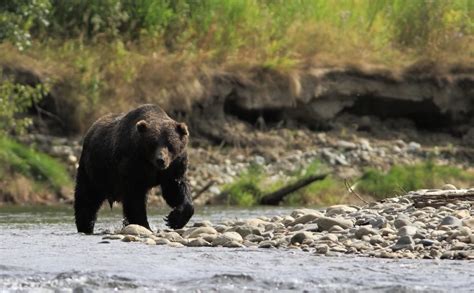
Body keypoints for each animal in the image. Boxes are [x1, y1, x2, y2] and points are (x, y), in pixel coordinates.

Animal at [74, 102, 193, 233]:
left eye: (170, 144)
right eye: (153, 143)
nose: (161, 160)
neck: (149, 163)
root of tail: (91, 128)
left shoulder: (173, 166)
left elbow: (175, 189)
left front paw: (174, 219)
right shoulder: (132, 164)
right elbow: (135, 198)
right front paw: (144, 225)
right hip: (94, 169)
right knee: (87, 197)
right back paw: (85, 225)